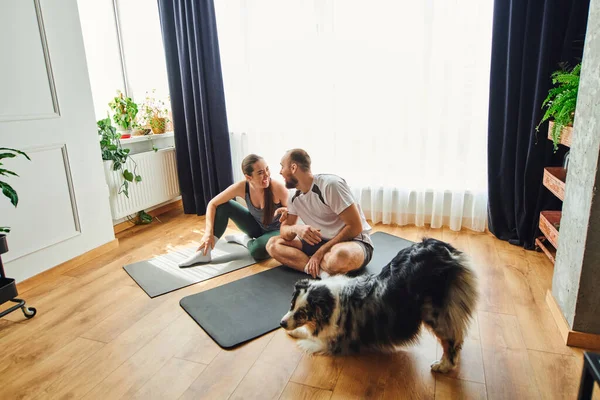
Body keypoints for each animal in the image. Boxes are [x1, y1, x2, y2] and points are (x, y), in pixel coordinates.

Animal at [280, 238, 478, 372]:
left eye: (302, 313)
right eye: (291, 304)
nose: (281, 323)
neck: (330, 303)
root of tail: (443, 248)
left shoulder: (333, 342)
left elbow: (311, 336)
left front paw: (295, 332)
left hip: (436, 312)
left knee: (450, 338)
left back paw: (444, 365)